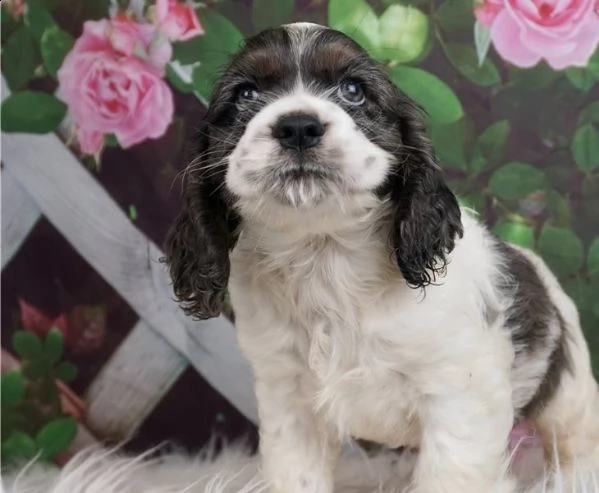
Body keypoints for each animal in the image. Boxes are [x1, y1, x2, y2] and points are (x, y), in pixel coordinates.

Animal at [166, 22, 599, 492]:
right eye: (245, 94)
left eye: (354, 90)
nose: (298, 126)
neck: (325, 255)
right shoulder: (289, 398)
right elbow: (296, 473)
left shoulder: (459, 397)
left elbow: (448, 476)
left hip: (569, 391)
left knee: (577, 437)